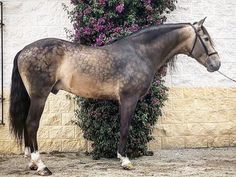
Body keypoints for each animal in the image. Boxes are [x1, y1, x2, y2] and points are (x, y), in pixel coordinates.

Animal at [8, 17, 219, 175]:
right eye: (206, 38)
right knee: (32, 124)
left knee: (27, 124)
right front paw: (125, 160)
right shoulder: (128, 99)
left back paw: (32, 163)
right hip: (39, 96)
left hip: (32, 97)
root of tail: (23, 50)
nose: (216, 64)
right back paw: (41, 166)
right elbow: (125, 127)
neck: (140, 53)